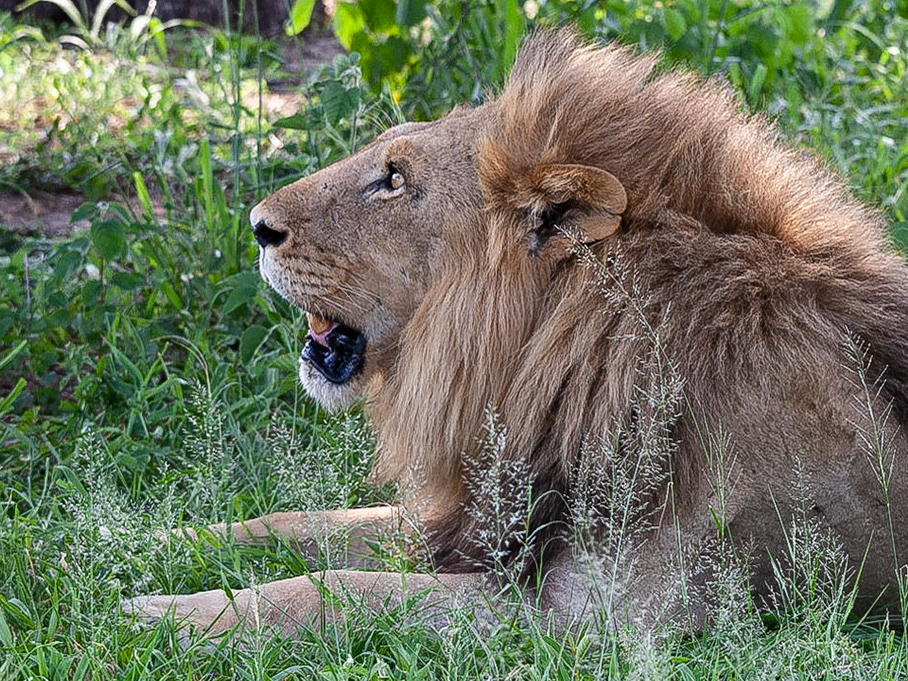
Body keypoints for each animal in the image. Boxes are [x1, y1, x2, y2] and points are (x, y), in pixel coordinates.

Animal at [124, 29, 908, 636]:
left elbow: (335, 591)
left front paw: (158, 614)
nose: (257, 224)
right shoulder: (485, 517)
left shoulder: (594, 616)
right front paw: (141, 538)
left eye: (394, 179)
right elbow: (303, 522)